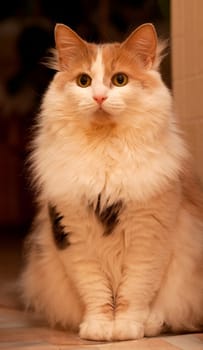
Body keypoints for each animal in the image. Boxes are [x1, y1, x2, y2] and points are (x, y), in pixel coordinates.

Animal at [19, 21, 203, 340]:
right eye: (83, 81)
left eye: (120, 80)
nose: (99, 97)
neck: (105, 152)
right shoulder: (73, 235)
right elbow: (95, 292)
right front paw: (99, 328)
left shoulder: (148, 236)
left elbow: (135, 290)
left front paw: (128, 328)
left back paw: (152, 323)